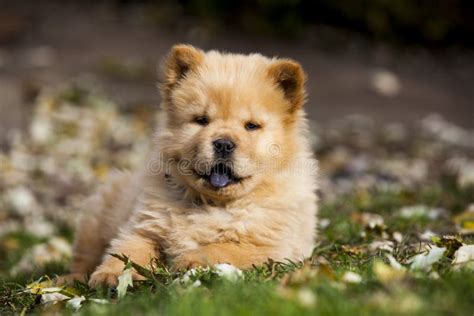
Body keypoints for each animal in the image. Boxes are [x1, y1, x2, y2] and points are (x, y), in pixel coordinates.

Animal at [60, 43, 318, 288]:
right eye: (201, 120)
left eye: (251, 126)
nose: (223, 144)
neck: (211, 203)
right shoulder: (145, 227)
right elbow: (127, 252)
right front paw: (110, 275)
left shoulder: (265, 245)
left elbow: (221, 248)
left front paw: (188, 261)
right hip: (96, 218)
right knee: (83, 258)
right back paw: (70, 279)